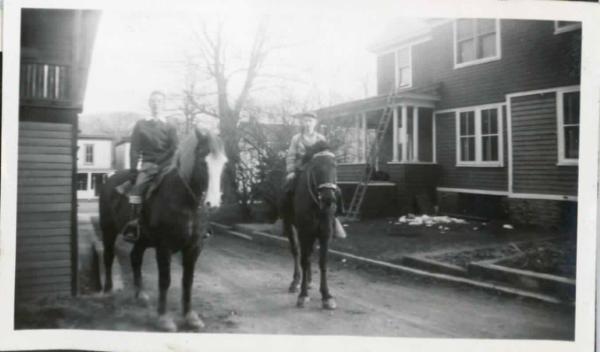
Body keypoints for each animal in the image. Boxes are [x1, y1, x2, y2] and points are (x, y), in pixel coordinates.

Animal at [98, 128, 227, 332]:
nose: (212, 204)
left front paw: (190, 317)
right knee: (109, 256)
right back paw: (107, 291)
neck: (185, 203)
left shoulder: (194, 247)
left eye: (224, 163)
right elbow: (165, 280)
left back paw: (140, 294)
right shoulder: (164, 247)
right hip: (108, 230)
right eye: (202, 161)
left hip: (142, 239)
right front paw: (164, 318)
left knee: (135, 257)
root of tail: (110, 180)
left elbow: (188, 281)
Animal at [282, 142, 338, 310]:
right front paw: (303, 295)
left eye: (334, 166)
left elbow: (322, 262)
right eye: (315, 167)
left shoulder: (325, 233)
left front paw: (327, 296)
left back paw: (308, 281)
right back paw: (296, 282)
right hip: (290, 226)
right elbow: (304, 260)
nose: (328, 198)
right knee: (297, 252)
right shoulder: (304, 232)